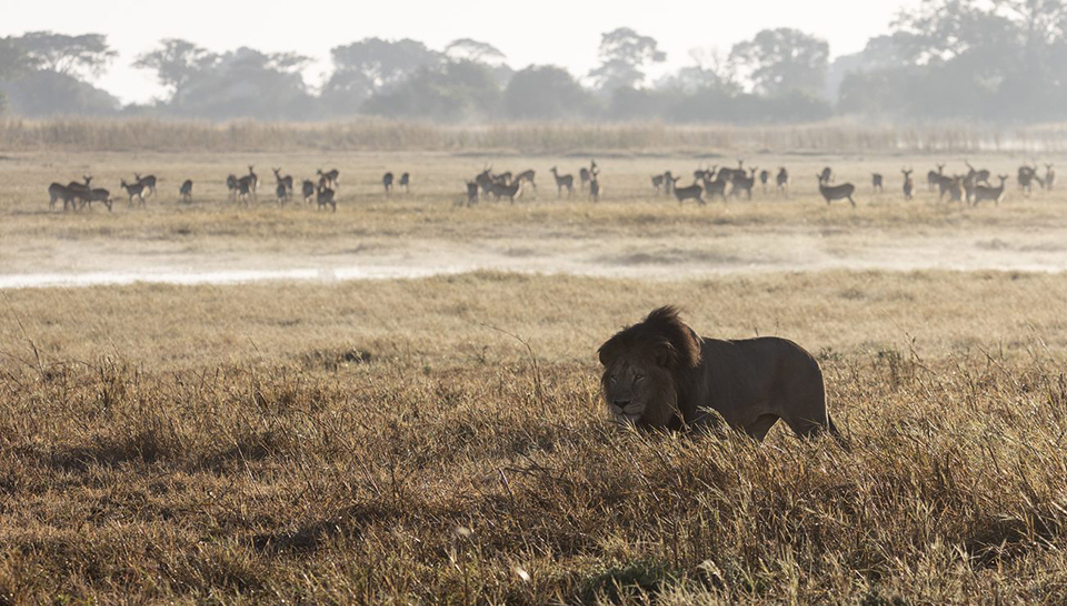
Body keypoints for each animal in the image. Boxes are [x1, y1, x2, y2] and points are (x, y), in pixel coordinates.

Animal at [598, 306, 838, 441]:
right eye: (614, 377)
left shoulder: (702, 426)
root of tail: (811, 358)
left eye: (639, 376)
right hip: (757, 427)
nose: (620, 403)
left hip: (811, 424)